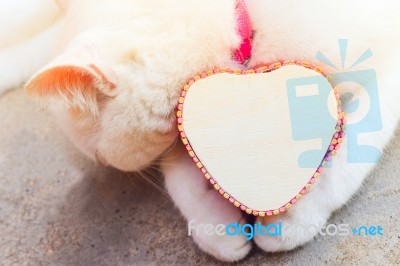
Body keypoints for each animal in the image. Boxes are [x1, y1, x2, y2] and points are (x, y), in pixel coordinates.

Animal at [1, 0, 398, 262]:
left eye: (98, 154)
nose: (101, 163)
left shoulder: (386, 62)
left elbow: (349, 154)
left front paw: (295, 216)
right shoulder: (186, 127)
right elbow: (182, 178)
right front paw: (216, 228)